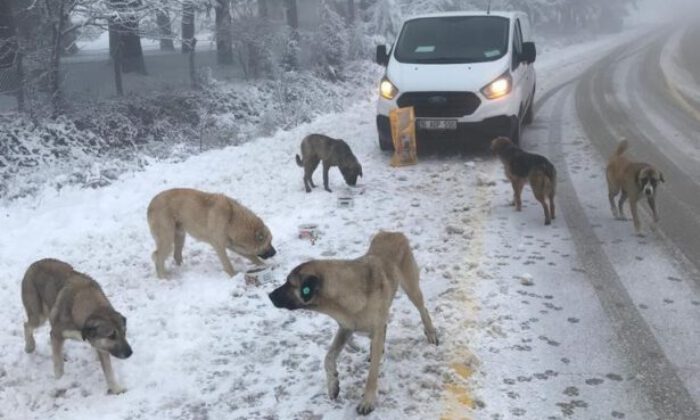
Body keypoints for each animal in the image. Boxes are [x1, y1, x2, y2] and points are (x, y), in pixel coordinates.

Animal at [21, 260, 133, 394]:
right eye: (111, 336)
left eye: (124, 332)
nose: (130, 353)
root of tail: (34, 264)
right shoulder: (56, 334)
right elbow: (58, 366)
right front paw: (60, 382)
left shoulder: (101, 345)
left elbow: (108, 371)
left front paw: (116, 389)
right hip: (39, 316)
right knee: (26, 325)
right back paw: (30, 346)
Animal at [148, 189, 276, 278]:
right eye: (268, 243)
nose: (275, 252)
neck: (232, 220)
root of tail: (151, 204)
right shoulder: (219, 245)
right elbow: (227, 263)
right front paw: (233, 275)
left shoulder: (232, 244)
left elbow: (252, 257)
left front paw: (264, 265)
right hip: (167, 239)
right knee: (158, 258)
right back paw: (163, 278)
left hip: (180, 236)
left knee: (176, 255)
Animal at [268, 231, 438, 416]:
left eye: (290, 283)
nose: (269, 295)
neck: (344, 292)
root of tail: (393, 233)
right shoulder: (346, 328)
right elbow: (328, 357)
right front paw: (333, 385)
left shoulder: (370, 327)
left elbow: (372, 374)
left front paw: (367, 401)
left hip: (411, 287)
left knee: (422, 309)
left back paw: (431, 333)